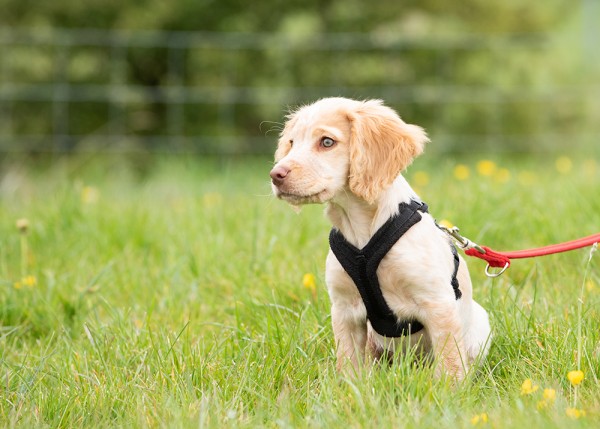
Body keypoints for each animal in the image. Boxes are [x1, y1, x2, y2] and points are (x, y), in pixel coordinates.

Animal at [270, 98, 490, 378]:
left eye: (327, 142)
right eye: (291, 143)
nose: (275, 175)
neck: (362, 233)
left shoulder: (438, 304)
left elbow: (450, 364)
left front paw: (449, 388)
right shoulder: (344, 308)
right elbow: (348, 363)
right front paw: (349, 387)